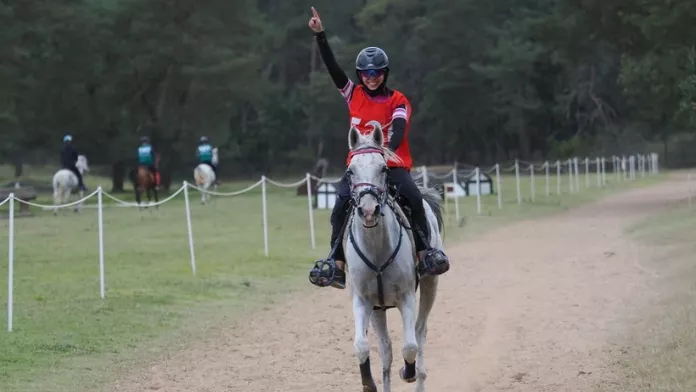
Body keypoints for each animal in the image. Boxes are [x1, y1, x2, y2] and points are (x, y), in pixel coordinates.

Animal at [342, 123, 446, 392]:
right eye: (350, 171)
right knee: (386, 349)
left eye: (384, 168)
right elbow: (362, 346)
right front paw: (368, 383)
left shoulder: (407, 297)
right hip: (379, 309)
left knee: (419, 332)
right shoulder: (362, 300)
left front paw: (408, 372)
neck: (377, 250)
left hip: (430, 285)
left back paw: (417, 376)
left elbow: (409, 346)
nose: (369, 210)